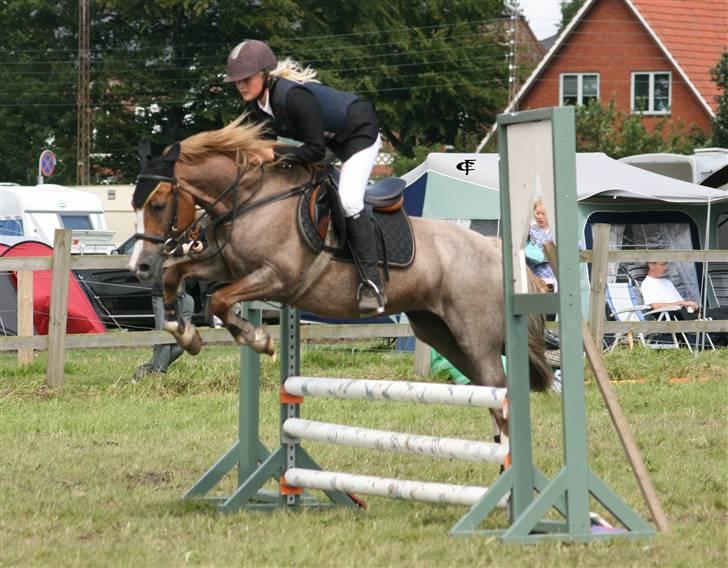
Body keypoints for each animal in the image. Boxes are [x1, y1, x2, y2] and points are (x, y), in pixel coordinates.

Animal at [129, 116, 552, 433]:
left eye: (159, 204)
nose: (140, 266)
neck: (251, 198)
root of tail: (496, 249)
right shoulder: (226, 265)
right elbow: (179, 275)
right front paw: (184, 333)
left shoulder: (276, 276)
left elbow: (219, 299)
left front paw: (259, 339)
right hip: (441, 332)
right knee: (490, 390)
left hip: (475, 335)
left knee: (499, 389)